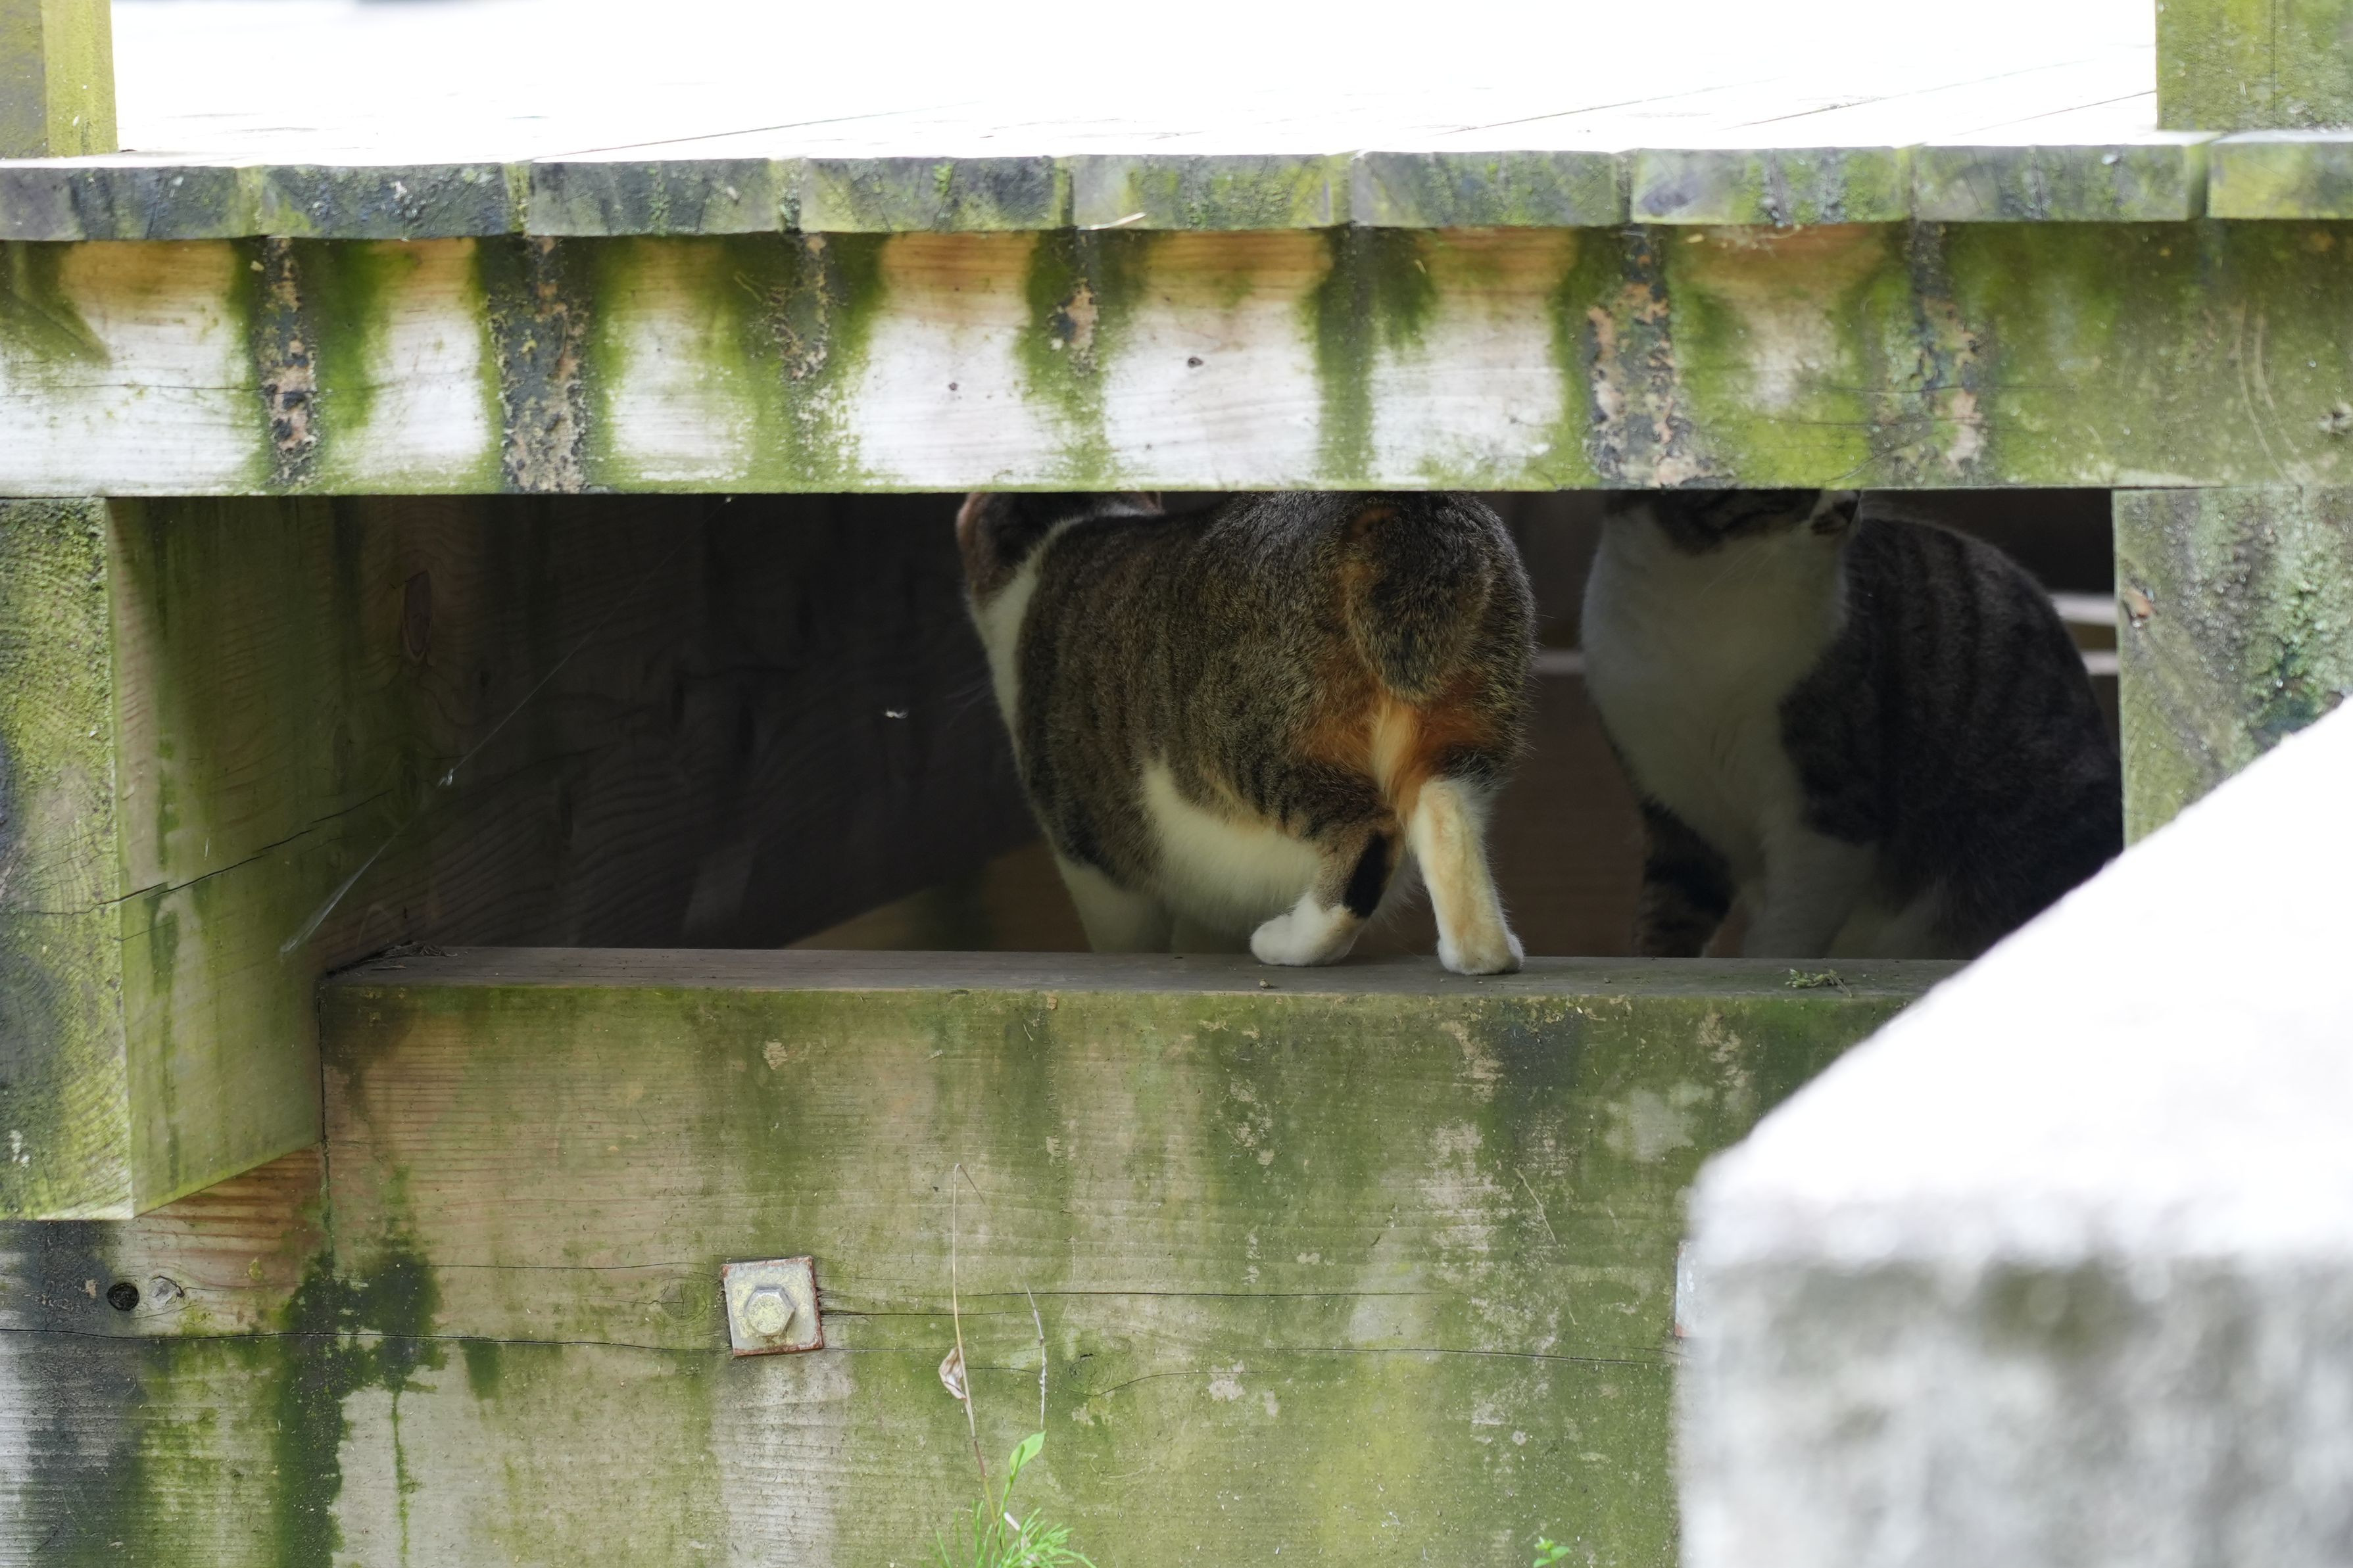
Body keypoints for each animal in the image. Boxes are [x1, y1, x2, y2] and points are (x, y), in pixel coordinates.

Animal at [958, 490, 1534, 974]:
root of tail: (1400, 504)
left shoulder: (1085, 846)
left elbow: (1124, 932)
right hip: (1465, 716)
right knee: (1446, 810)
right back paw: (1485, 956)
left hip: (1253, 742)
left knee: (1368, 830)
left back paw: (1293, 944)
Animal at [1580, 489, 2122, 960]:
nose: (1849, 502)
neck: (1704, 602)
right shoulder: (1675, 802)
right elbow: (1670, 910)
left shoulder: (1831, 801)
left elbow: (1789, 929)